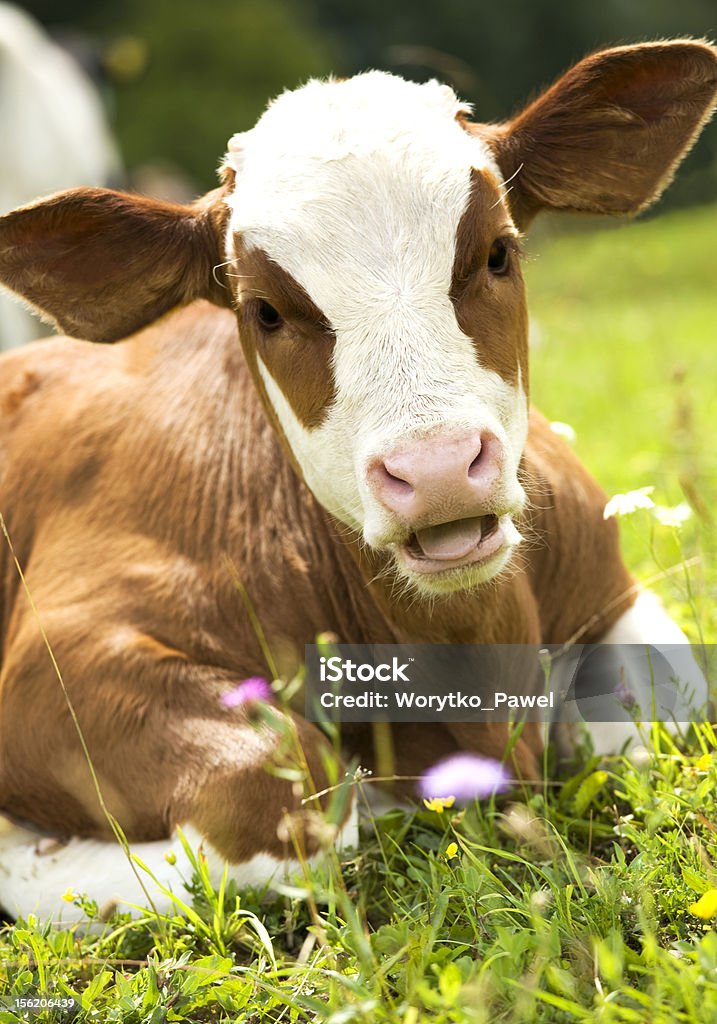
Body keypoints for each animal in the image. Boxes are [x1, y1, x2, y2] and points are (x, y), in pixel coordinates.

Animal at [1, 39, 717, 921]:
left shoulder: (610, 587)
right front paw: (27, 849)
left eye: (497, 252)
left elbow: (652, 714)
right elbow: (287, 808)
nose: (438, 468)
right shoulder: (54, 662)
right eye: (265, 310)